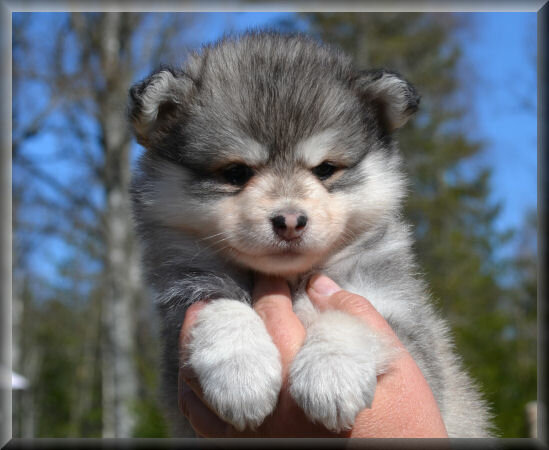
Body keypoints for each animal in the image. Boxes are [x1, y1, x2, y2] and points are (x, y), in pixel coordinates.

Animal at [128, 30, 492, 436]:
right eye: (236, 173)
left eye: (325, 169)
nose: (290, 220)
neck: (290, 279)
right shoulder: (185, 302)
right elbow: (219, 305)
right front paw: (241, 371)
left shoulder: (402, 321)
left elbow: (353, 315)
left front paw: (331, 369)